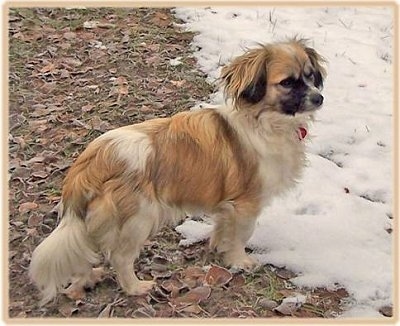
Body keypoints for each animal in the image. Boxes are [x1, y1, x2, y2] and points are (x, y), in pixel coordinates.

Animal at [29, 38, 326, 306]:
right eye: (287, 82)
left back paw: (87, 279)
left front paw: (219, 248)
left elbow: (221, 228)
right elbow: (242, 235)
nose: (319, 97)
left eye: (310, 76)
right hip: (139, 218)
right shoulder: (246, 204)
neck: (263, 121)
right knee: (120, 258)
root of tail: (90, 162)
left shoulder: (227, 204)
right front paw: (239, 260)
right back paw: (135, 287)